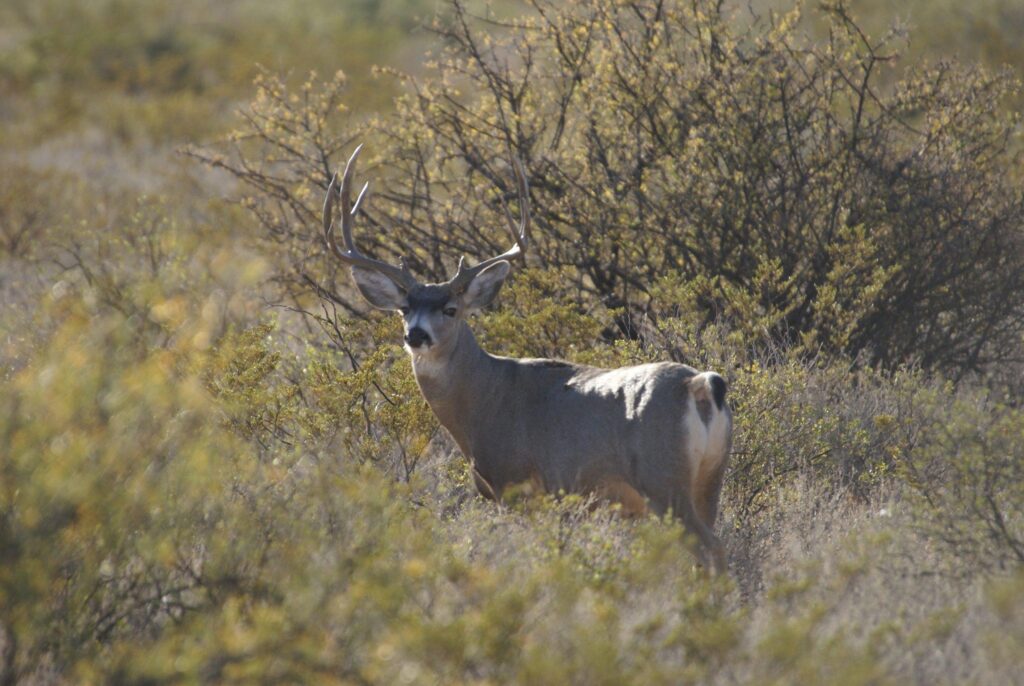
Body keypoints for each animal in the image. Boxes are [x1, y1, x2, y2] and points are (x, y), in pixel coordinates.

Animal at [320, 146, 733, 572]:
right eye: (405, 309)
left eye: (451, 309)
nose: (416, 334)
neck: (483, 401)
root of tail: (699, 384)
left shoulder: (516, 485)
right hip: (709, 480)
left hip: (662, 478)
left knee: (712, 548)